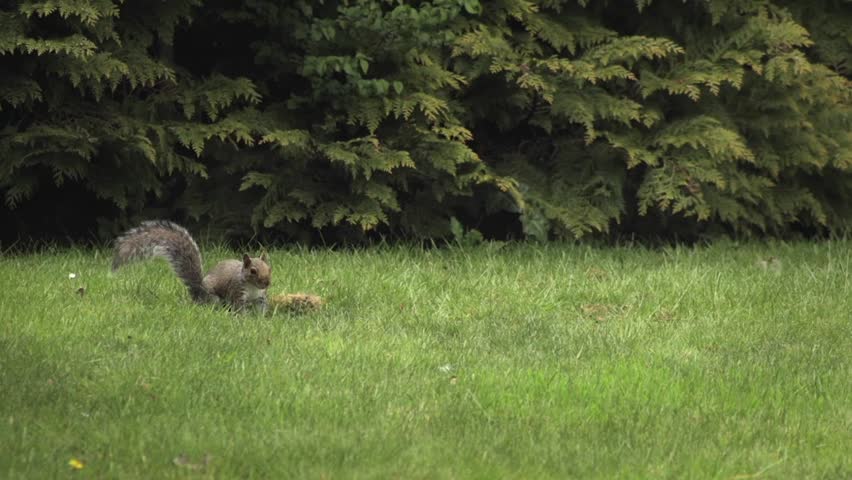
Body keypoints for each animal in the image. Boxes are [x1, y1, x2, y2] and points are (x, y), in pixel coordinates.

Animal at [112, 220, 271, 313]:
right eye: (253, 271)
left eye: (270, 269)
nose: (267, 283)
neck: (252, 288)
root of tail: (197, 292)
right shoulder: (237, 292)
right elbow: (239, 308)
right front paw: (244, 320)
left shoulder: (260, 298)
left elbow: (261, 308)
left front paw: (260, 321)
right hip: (212, 298)